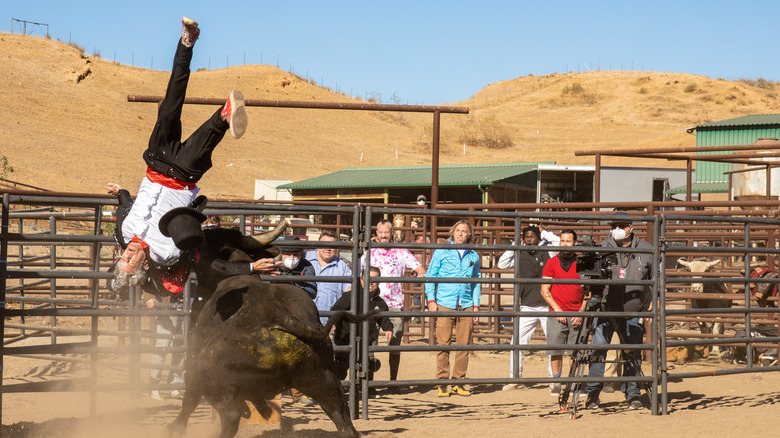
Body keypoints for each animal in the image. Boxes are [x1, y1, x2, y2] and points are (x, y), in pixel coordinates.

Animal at [168, 276, 360, 436]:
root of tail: (277, 312)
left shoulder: (193, 368)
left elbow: (190, 399)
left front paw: (175, 428)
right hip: (324, 378)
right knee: (342, 415)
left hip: (213, 383)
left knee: (230, 415)